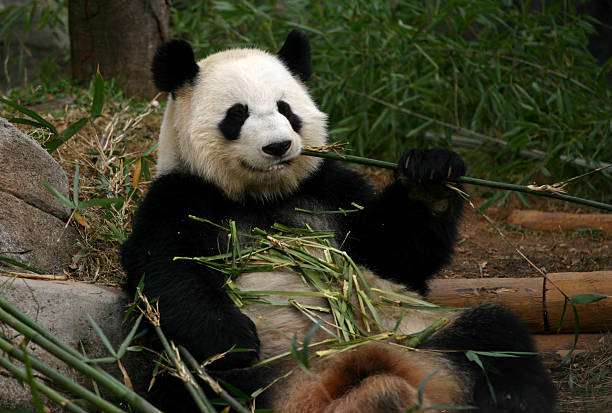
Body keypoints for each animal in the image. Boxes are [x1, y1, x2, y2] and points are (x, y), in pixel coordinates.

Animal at [119, 29, 556, 412]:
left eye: (286, 109)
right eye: (237, 114)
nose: (278, 146)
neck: (263, 195)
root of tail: (337, 371)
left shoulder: (330, 188)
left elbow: (393, 254)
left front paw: (429, 177)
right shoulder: (180, 196)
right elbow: (166, 271)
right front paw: (234, 339)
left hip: (417, 329)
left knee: (495, 339)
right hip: (241, 375)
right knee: (195, 382)